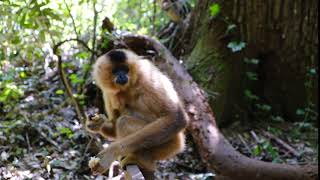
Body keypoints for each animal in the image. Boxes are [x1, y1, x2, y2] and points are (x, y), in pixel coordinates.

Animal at [86, 48, 189, 176]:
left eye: (125, 69)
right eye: (115, 71)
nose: (122, 75)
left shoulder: (147, 75)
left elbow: (176, 118)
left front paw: (111, 152)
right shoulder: (107, 91)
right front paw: (98, 123)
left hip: (171, 144)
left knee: (124, 121)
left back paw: (144, 161)